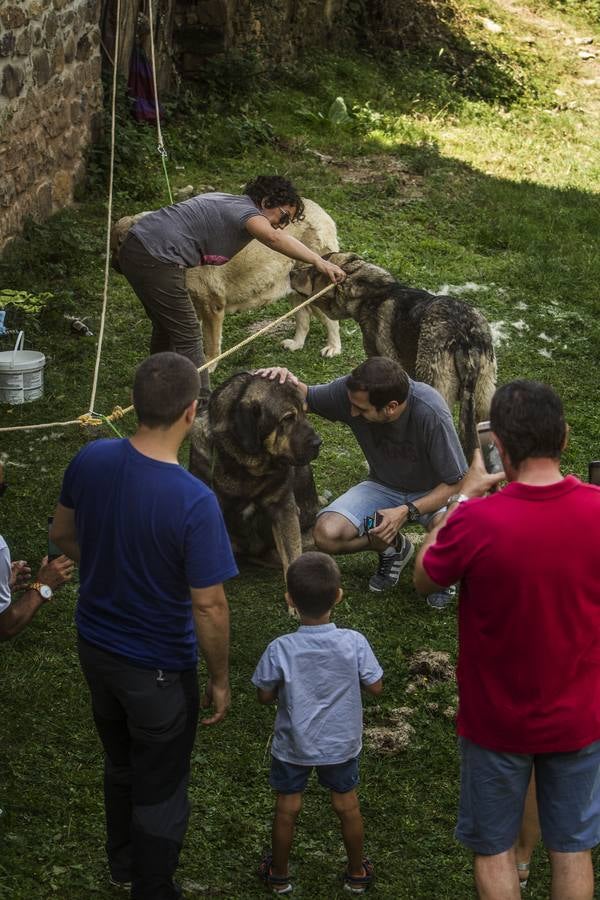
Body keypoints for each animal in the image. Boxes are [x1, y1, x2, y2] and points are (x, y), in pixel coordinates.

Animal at [109, 200, 340, 370]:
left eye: (116, 246)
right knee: (304, 318)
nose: (113, 266)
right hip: (294, 290)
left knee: (330, 320)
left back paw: (333, 348)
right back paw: (296, 344)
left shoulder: (211, 307)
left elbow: (211, 344)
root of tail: (319, 209)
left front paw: (207, 366)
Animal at [190, 374, 322, 576]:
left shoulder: (284, 509)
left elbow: (292, 557)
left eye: (305, 412)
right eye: (288, 418)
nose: (318, 443)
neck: (245, 466)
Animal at [292, 251, 496, 458]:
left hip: (437, 383)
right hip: (484, 397)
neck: (371, 293)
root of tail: (465, 337)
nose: (291, 272)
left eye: (313, 272)